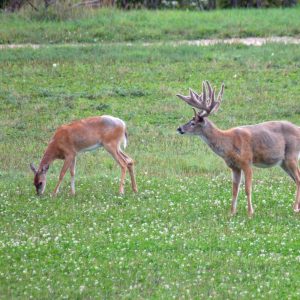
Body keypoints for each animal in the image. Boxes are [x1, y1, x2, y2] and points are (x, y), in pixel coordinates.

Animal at [177, 80, 300, 216]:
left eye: (193, 123)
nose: (179, 128)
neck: (228, 144)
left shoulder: (247, 162)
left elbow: (247, 188)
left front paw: (250, 212)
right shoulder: (234, 167)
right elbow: (234, 190)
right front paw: (232, 212)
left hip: (292, 155)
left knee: (298, 179)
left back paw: (295, 208)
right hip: (283, 162)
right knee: (296, 179)